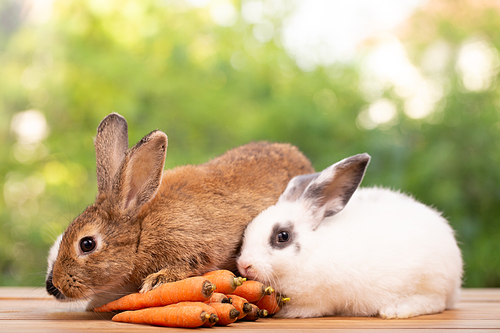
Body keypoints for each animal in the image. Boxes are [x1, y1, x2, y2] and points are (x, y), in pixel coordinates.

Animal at [46, 113, 312, 308]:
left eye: (87, 244)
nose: (54, 286)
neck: (141, 234)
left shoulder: (194, 244)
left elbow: (187, 265)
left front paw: (156, 282)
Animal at [236, 152, 462, 316]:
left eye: (283, 236)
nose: (244, 265)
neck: (313, 251)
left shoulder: (319, 298)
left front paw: (287, 313)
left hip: (430, 280)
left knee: (436, 302)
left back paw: (396, 310)